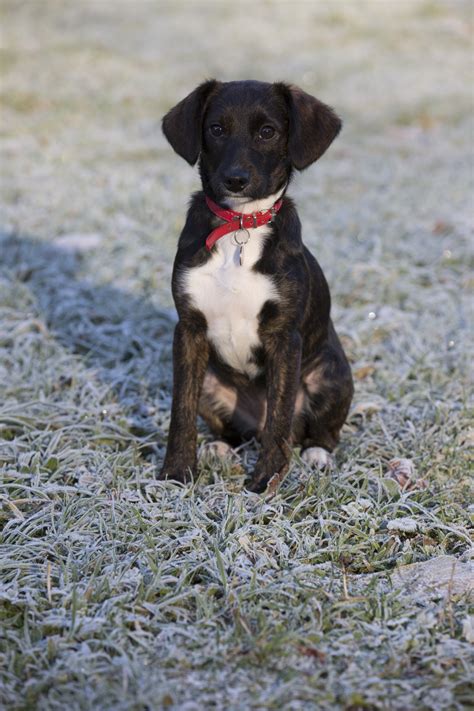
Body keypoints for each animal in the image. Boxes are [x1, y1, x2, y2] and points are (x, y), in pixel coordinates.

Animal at [158, 76, 352, 490]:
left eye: (267, 132)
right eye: (216, 129)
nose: (235, 179)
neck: (240, 225)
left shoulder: (285, 337)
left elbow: (278, 415)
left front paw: (266, 480)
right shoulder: (188, 331)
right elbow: (181, 410)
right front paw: (177, 471)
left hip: (333, 374)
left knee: (316, 430)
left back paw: (317, 454)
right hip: (212, 383)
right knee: (234, 428)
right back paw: (220, 446)